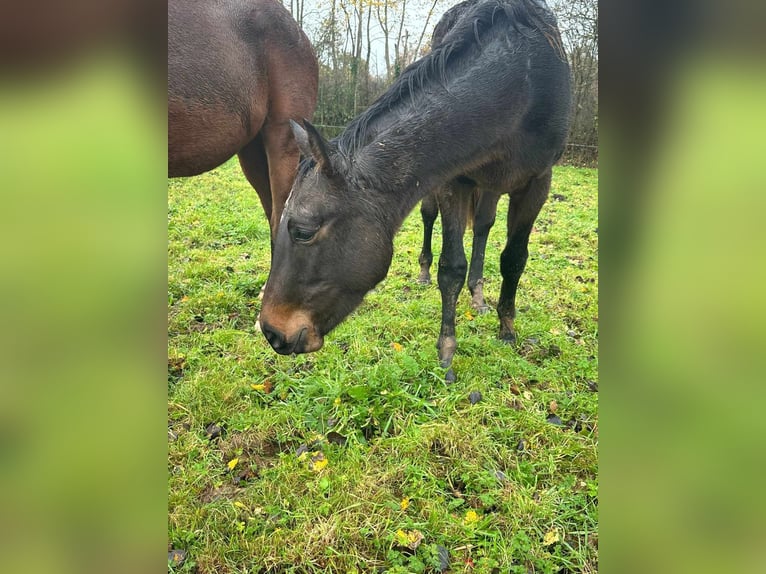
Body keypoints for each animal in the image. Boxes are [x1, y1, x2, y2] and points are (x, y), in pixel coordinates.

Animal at [258, 0, 568, 382]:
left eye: (302, 231)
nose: (272, 331)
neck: (520, 81)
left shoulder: (539, 181)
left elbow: (513, 259)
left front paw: (507, 330)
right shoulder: (454, 179)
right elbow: (451, 267)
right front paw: (447, 351)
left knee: (483, 227)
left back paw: (479, 296)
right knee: (440, 220)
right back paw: (428, 274)